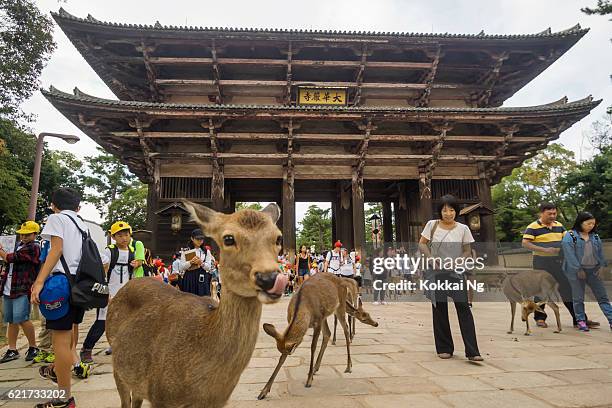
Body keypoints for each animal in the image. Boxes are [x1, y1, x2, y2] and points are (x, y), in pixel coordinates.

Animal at [258, 272, 378, 400]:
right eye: (365, 317)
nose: (376, 324)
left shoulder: (318, 321)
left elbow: (313, 347)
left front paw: (309, 380)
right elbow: (282, 358)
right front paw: (263, 392)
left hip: (339, 306)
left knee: (345, 328)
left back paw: (348, 366)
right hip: (327, 314)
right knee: (328, 333)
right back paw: (316, 367)